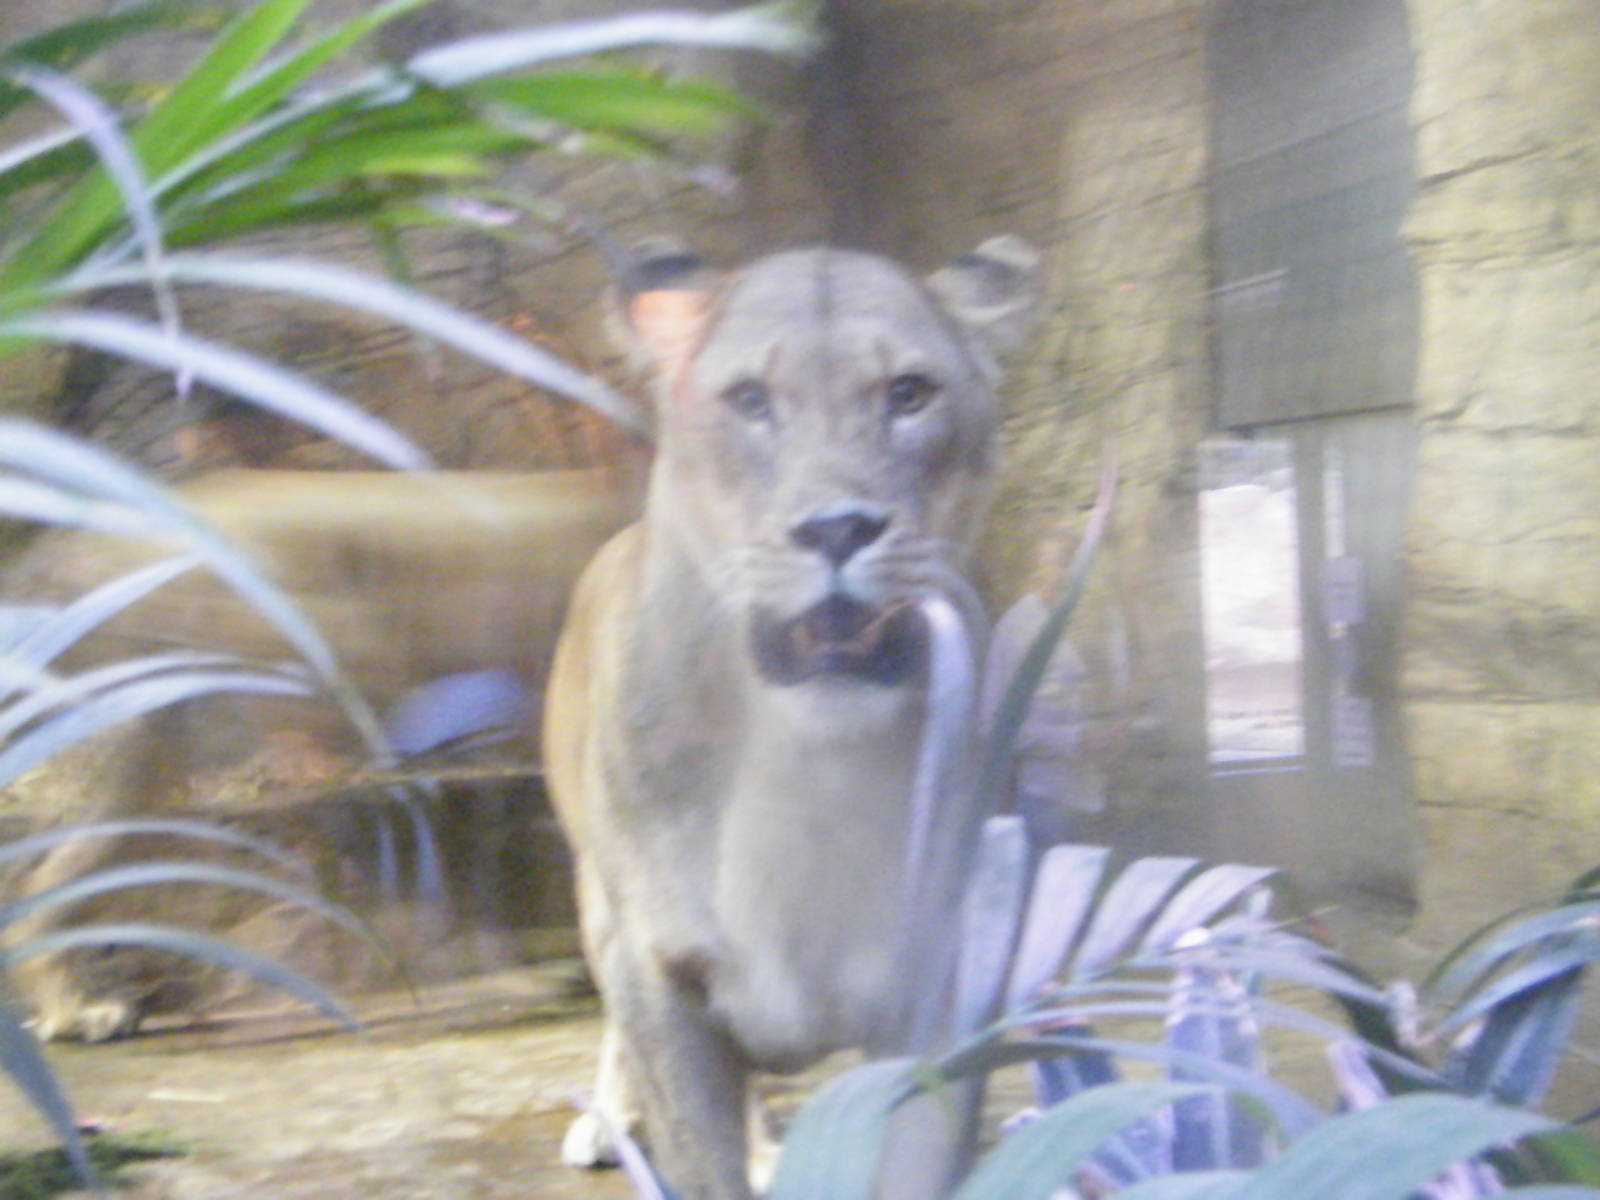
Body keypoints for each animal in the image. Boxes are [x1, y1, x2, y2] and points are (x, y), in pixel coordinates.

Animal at [543, 237, 1041, 1199]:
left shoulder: (934, 974)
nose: (838, 528)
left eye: (908, 394)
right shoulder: (659, 970)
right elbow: (698, 1155)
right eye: (749, 400)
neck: (805, 760)